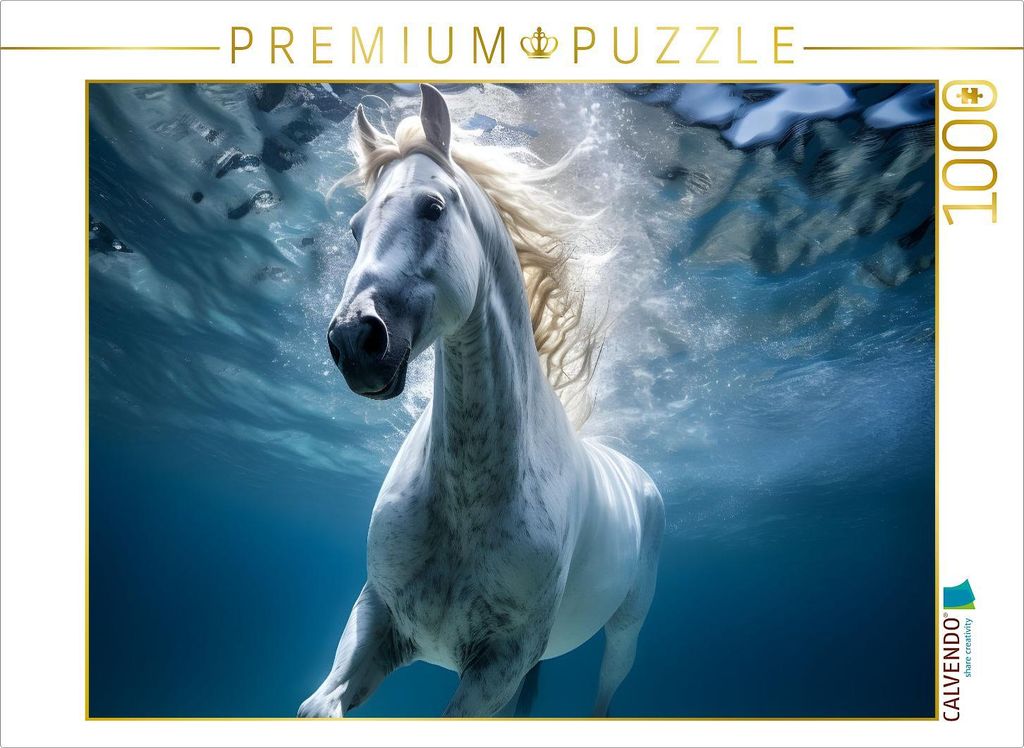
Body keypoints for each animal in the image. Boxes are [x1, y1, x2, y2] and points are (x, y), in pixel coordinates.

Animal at [298, 84, 664, 718]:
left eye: (432, 208)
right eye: (354, 227)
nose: (353, 340)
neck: (466, 506)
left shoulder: (497, 668)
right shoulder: (377, 617)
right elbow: (318, 707)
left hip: (623, 636)